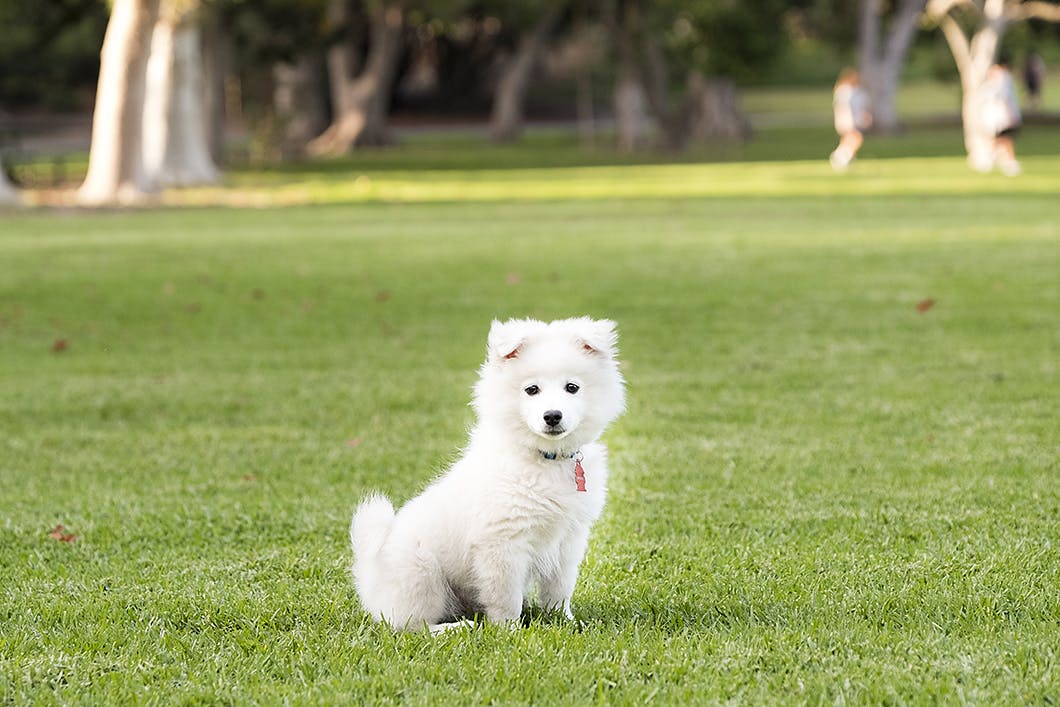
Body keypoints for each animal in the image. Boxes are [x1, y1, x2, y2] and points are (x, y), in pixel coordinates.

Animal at [351, 317, 623, 631]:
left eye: (572, 387)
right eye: (532, 389)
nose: (553, 415)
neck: (544, 459)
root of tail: (369, 574)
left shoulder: (568, 540)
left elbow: (559, 589)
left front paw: (565, 621)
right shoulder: (502, 544)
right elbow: (506, 598)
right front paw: (509, 631)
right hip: (422, 574)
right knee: (411, 626)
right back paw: (457, 628)